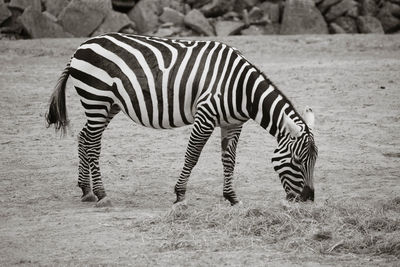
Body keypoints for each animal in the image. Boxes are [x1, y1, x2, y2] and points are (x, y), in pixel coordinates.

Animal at [45, 33, 318, 207]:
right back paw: (102, 194)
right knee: (92, 143)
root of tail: (82, 45)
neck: (242, 89)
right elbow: (192, 155)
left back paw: (86, 190)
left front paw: (232, 197)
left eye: (315, 161)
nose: (308, 199)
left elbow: (229, 161)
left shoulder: (232, 123)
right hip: (96, 99)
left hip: (108, 104)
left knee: (84, 137)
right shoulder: (205, 116)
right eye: (296, 160)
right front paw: (180, 196)